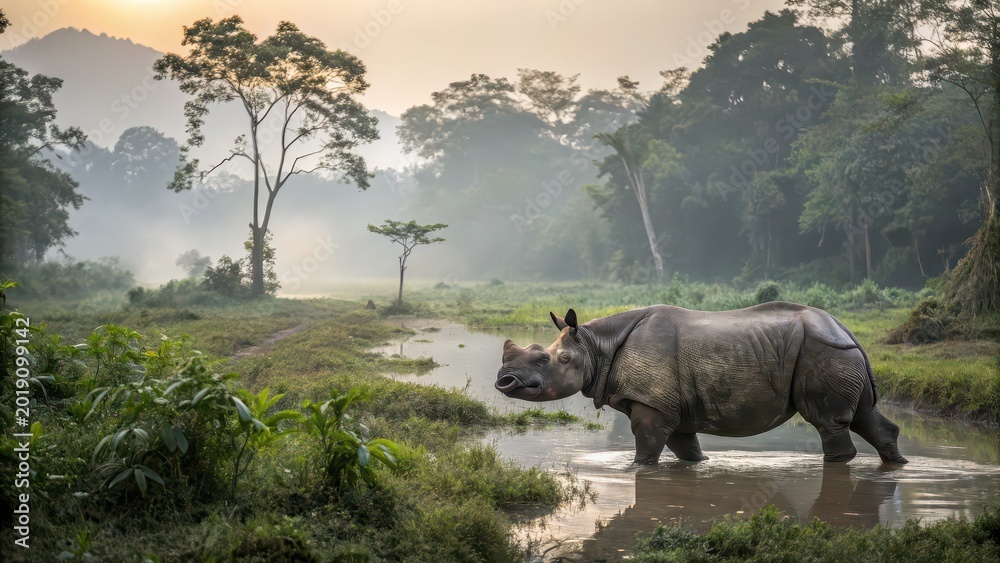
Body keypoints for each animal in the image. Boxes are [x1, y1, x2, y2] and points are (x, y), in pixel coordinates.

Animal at [496, 303, 907, 465]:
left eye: (554, 361)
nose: (504, 380)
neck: (597, 346)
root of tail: (847, 329)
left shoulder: (652, 405)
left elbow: (646, 450)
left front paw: (637, 468)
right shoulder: (670, 406)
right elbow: (686, 449)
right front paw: (698, 464)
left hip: (823, 351)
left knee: (828, 420)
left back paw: (838, 463)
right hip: (839, 353)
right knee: (865, 415)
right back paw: (896, 464)